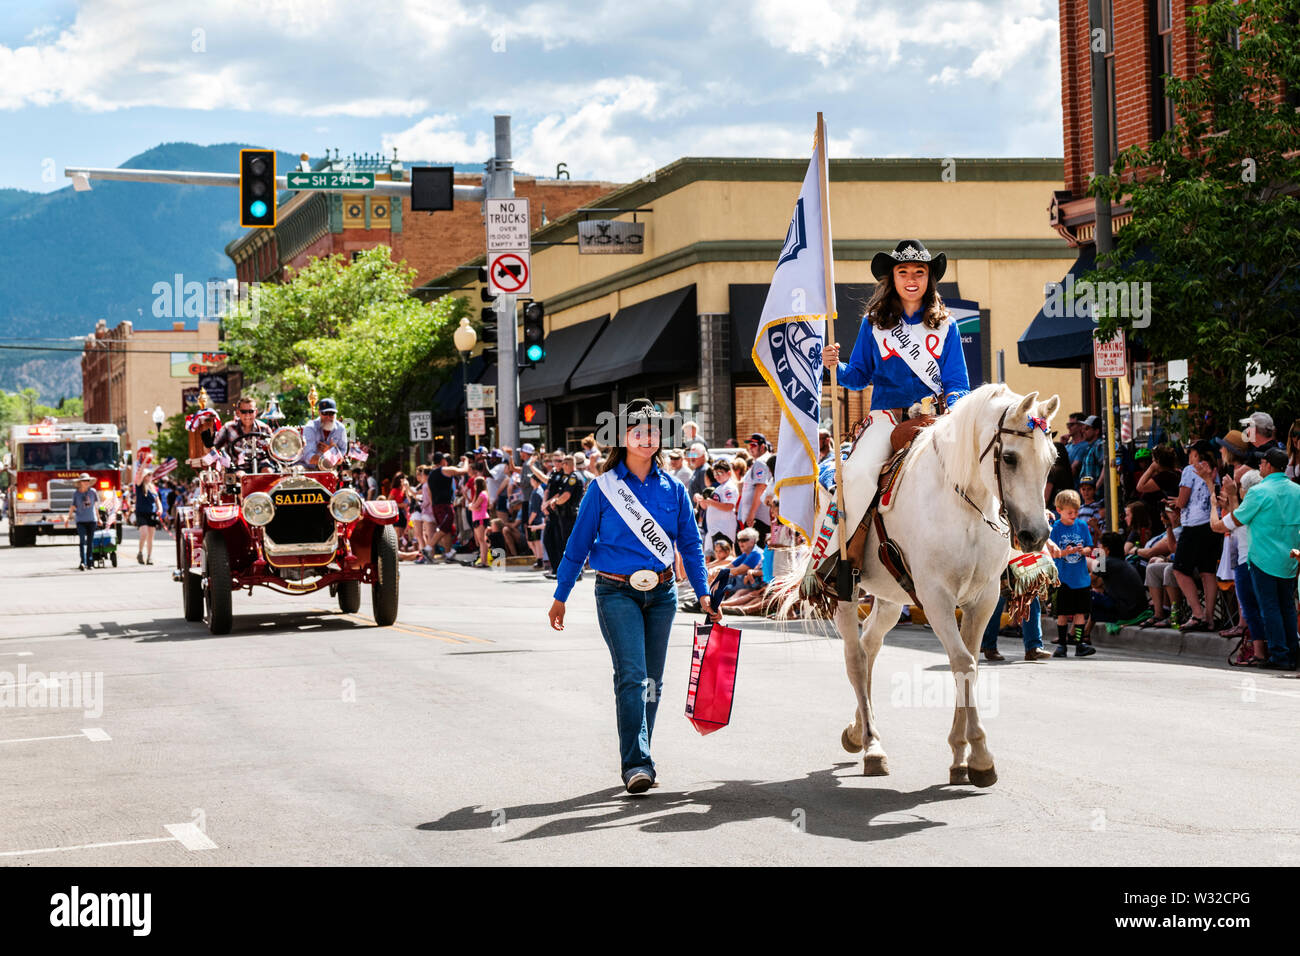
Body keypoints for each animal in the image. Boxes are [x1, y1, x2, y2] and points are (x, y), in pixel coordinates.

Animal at [780, 385, 1055, 790]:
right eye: (1010, 457)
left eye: (1051, 460)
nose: (1036, 535)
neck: (963, 503)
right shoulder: (936, 597)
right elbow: (962, 661)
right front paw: (980, 756)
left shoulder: (982, 600)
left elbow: (969, 665)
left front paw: (960, 757)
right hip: (847, 592)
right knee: (855, 657)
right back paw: (872, 746)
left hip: (891, 599)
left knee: (870, 645)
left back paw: (857, 731)